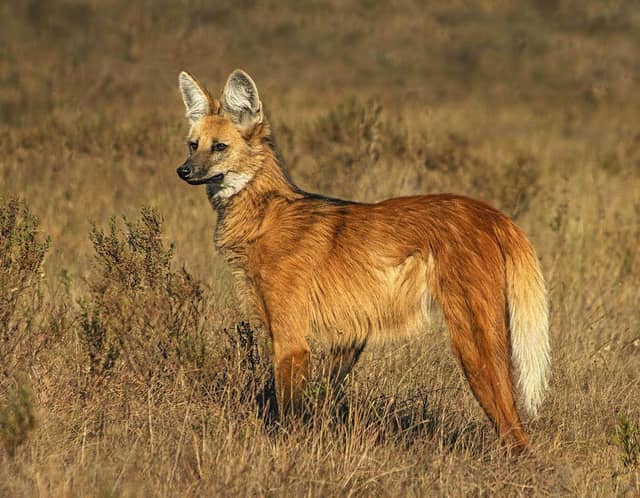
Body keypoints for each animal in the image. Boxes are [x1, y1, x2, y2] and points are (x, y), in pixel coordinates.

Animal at [176, 69, 550, 452]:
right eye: (193, 144)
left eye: (219, 147)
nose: (183, 171)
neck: (265, 215)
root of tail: (492, 213)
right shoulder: (347, 336)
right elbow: (319, 398)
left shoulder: (291, 340)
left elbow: (288, 413)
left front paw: (286, 453)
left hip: (472, 343)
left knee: (513, 427)